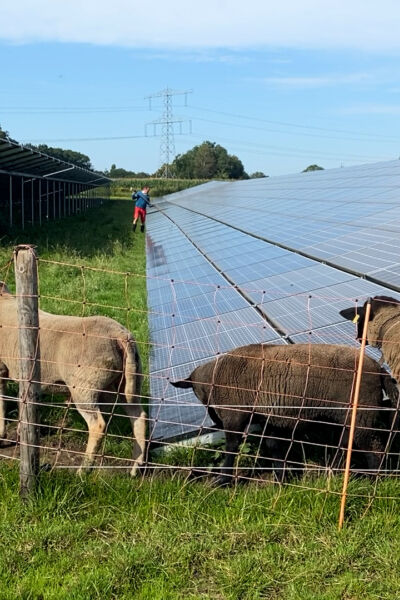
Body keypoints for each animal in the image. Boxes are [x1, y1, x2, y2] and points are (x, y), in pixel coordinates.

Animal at [0, 282, 146, 478]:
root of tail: (120, 336)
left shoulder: (1, 368)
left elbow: (2, 402)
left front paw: (2, 435)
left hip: (84, 387)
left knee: (98, 425)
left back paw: (84, 470)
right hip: (124, 383)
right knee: (138, 416)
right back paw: (135, 467)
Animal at [171, 342, 394, 482]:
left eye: (196, 392)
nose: (214, 420)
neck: (213, 379)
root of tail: (379, 371)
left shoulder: (234, 415)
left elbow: (232, 447)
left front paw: (223, 479)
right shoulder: (270, 417)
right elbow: (274, 446)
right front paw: (281, 478)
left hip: (362, 413)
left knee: (373, 447)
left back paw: (375, 480)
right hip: (349, 416)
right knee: (346, 443)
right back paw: (334, 471)